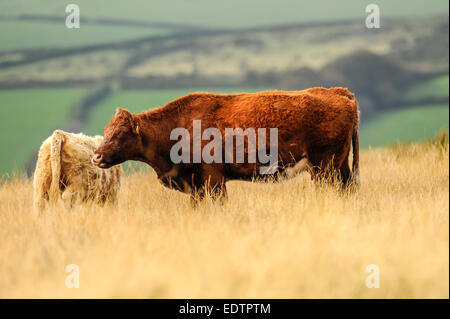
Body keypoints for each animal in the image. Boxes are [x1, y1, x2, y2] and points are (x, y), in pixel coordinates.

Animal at [93, 87, 360, 202]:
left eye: (120, 133)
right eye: (106, 131)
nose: (96, 156)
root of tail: (340, 92)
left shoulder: (214, 181)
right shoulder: (197, 186)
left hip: (325, 168)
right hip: (340, 167)